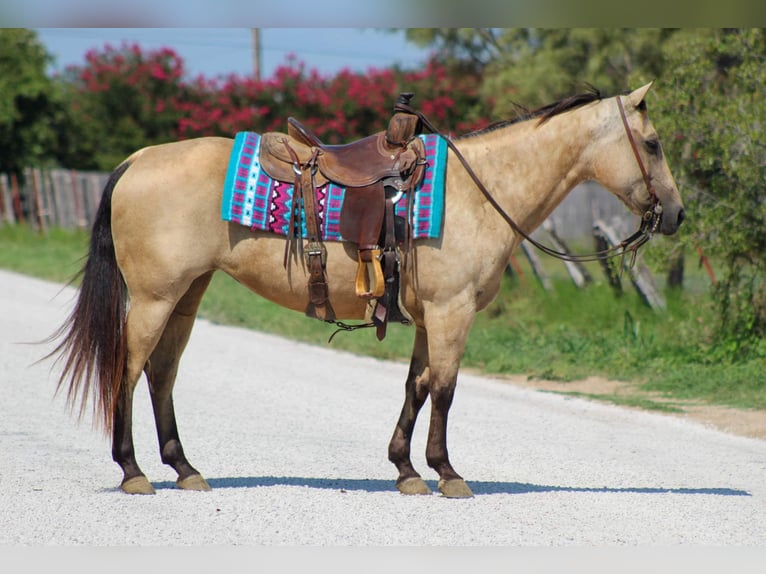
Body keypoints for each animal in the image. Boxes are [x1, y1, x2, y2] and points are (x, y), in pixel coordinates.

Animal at [47, 82, 684, 498]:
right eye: (653, 144)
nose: (676, 215)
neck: (480, 193)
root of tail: (135, 161)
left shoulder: (429, 317)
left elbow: (416, 387)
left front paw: (406, 470)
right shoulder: (451, 314)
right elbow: (445, 390)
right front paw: (447, 473)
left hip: (187, 295)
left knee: (162, 374)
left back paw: (184, 469)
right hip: (155, 298)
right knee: (129, 369)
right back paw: (133, 472)